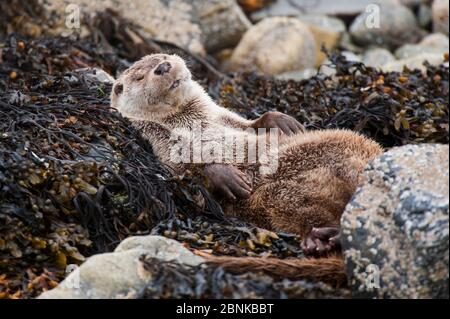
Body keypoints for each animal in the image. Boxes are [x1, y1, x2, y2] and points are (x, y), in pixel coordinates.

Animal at [110, 53, 382, 268]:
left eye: (164, 57)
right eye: (140, 77)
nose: (163, 67)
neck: (193, 121)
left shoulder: (224, 116)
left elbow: (251, 123)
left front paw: (280, 120)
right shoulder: (161, 143)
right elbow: (186, 171)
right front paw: (225, 176)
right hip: (276, 197)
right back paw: (320, 239)